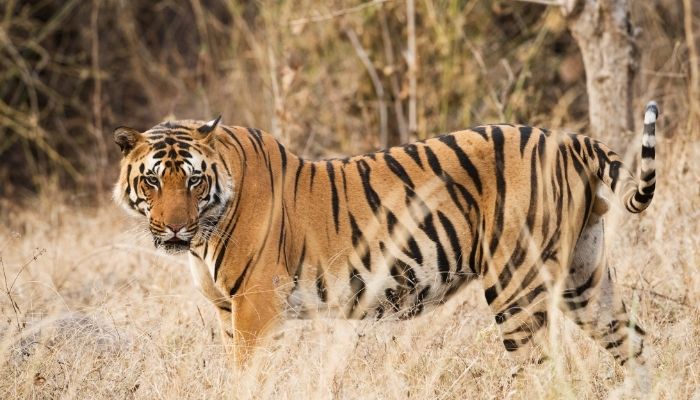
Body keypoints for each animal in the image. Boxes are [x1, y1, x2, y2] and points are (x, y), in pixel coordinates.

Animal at [113, 101, 658, 371]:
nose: (175, 227)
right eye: (153, 181)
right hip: (584, 276)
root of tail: (569, 140)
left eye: (193, 180)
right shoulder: (229, 311)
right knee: (634, 343)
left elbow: (245, 378)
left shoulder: (256, 307)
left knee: (541, 370)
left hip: (515, 285)